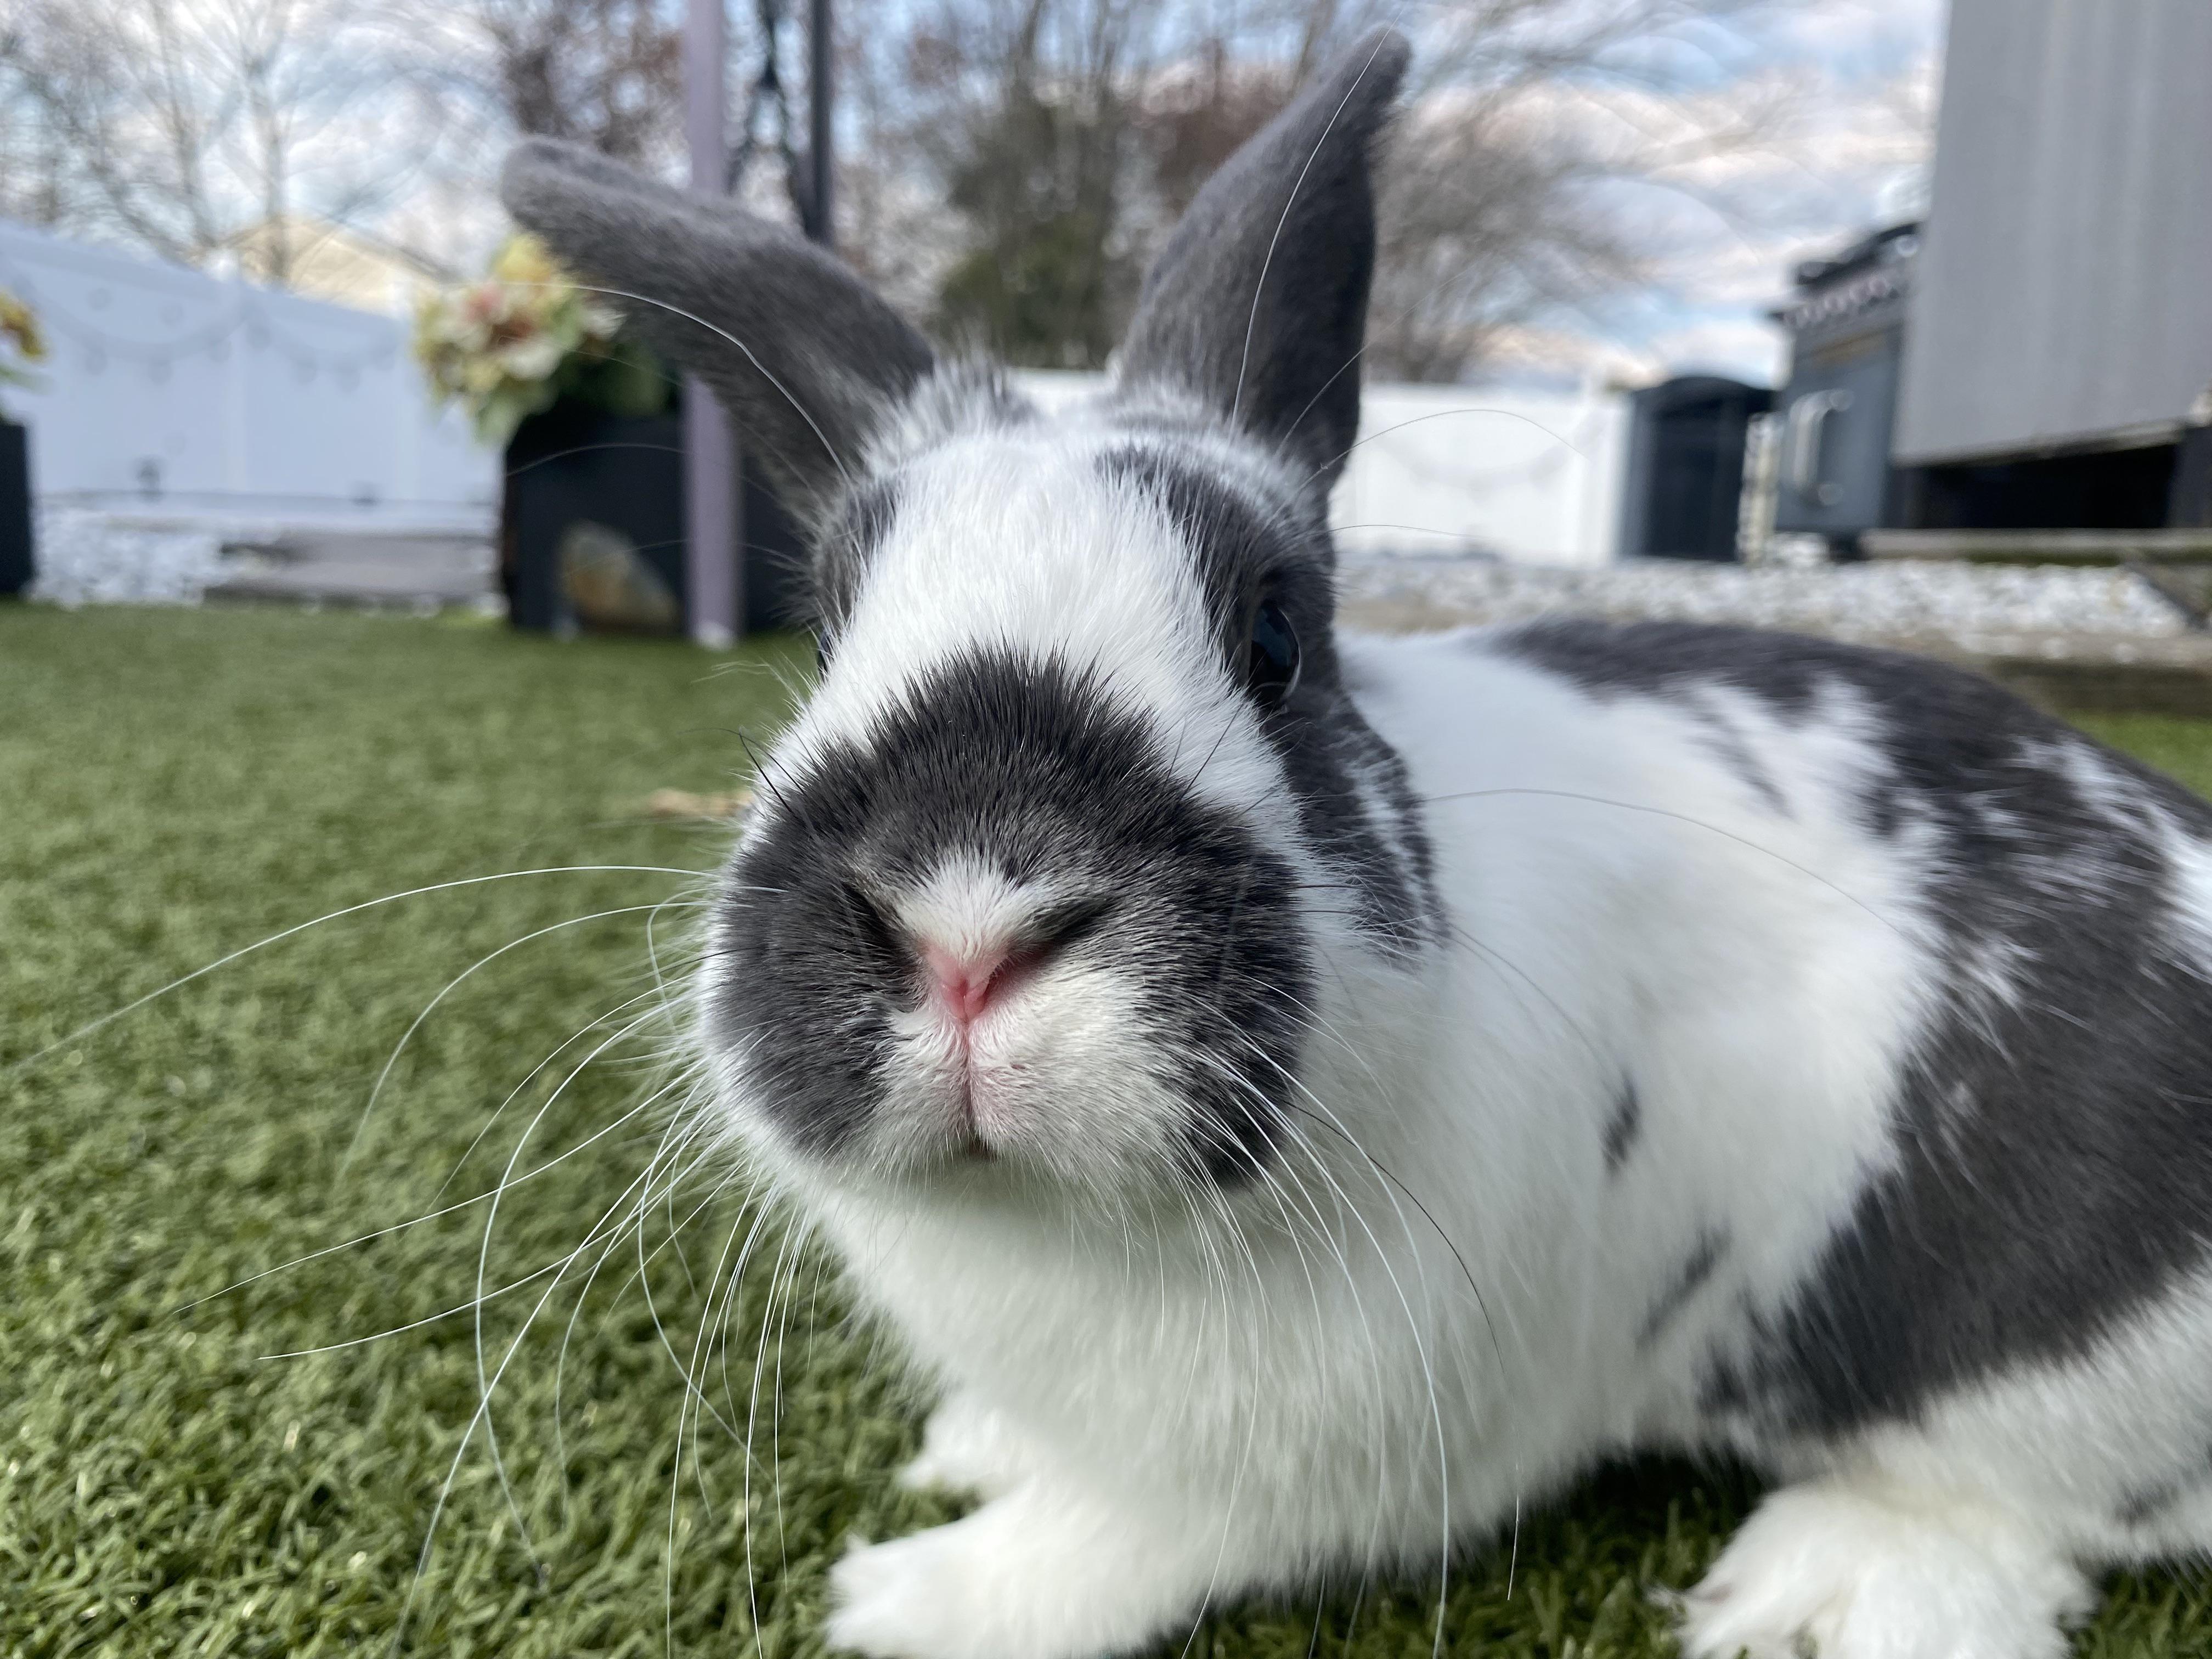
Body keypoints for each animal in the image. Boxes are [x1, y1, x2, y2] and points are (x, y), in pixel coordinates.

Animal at [502, 26, 2212, 1659]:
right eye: (823, 632)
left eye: (1278, 637)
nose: (968, 927)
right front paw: (967, 1452)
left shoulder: (1283, 1471)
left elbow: (1106, 1548)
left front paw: (910, 1599)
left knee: (2004, 1524)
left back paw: (1819, 1593)